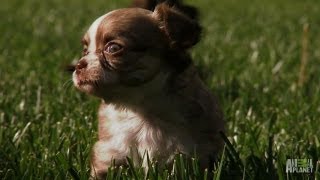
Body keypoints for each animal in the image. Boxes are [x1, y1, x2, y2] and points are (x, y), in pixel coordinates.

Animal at [71, 1, 224, 179]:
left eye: (113, 48)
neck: (140, 109)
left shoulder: (195, 153)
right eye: (85, 51)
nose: (78, 65)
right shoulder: (108, 153)